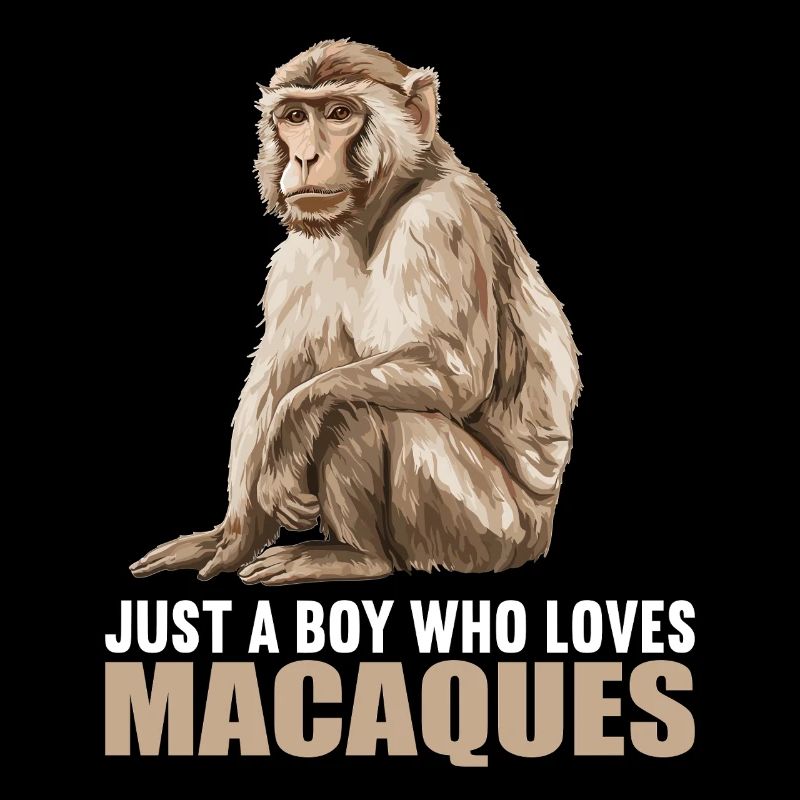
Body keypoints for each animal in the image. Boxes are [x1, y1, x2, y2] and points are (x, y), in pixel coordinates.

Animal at [130, 40, 580, 586]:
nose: (305, 156)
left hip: (487, 530)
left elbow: (453, 376)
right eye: (295, 117)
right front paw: (233, 536)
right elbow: (274, 375)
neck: (380, 207)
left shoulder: (440, 220)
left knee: (357, 404)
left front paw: (289, 433)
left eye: (340, 114)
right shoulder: (299, 255)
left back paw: (358, 556)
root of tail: (540, 530)